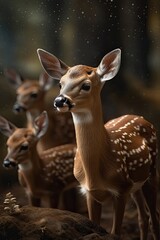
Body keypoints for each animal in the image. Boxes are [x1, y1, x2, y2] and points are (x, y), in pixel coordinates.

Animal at [37, 48, 160, 240]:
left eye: (86, 85)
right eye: (60, 84)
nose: (59, 101)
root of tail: (140, 117)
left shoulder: (121, 189)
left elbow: (115, 232)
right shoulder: (89, 192)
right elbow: (94, 227)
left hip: (151, 172)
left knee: (154, 218)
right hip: (136, 184)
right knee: (144, 217)